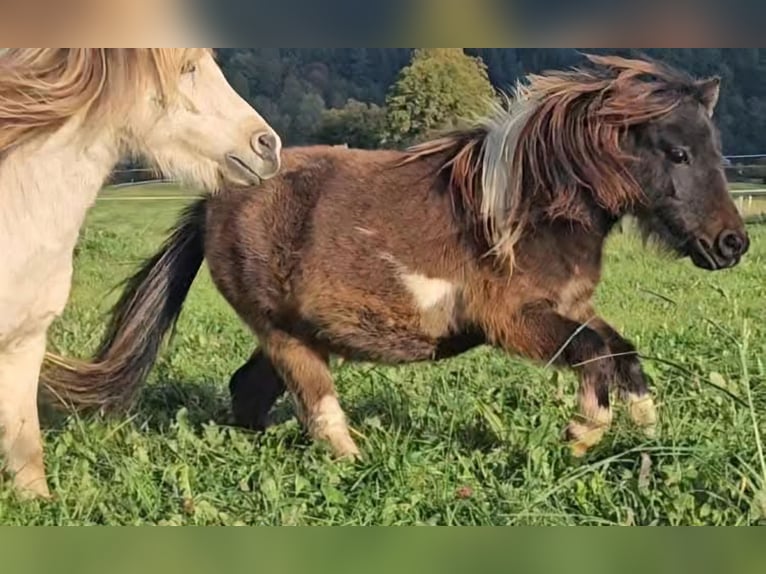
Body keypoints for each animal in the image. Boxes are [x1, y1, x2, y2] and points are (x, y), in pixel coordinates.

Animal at [43, 56, 752, 462]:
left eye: (714, 148)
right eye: (678, 152)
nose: (732, 244)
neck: (529, 208)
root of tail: (212, 201)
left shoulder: (572, 306)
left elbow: (620, 349)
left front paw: (647, 429)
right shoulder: (515, 322)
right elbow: (595, 353)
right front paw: (584, 435)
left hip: (298, 334)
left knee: (249, 390)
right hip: (282, 335)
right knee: (317, 407)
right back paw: (354, 462)